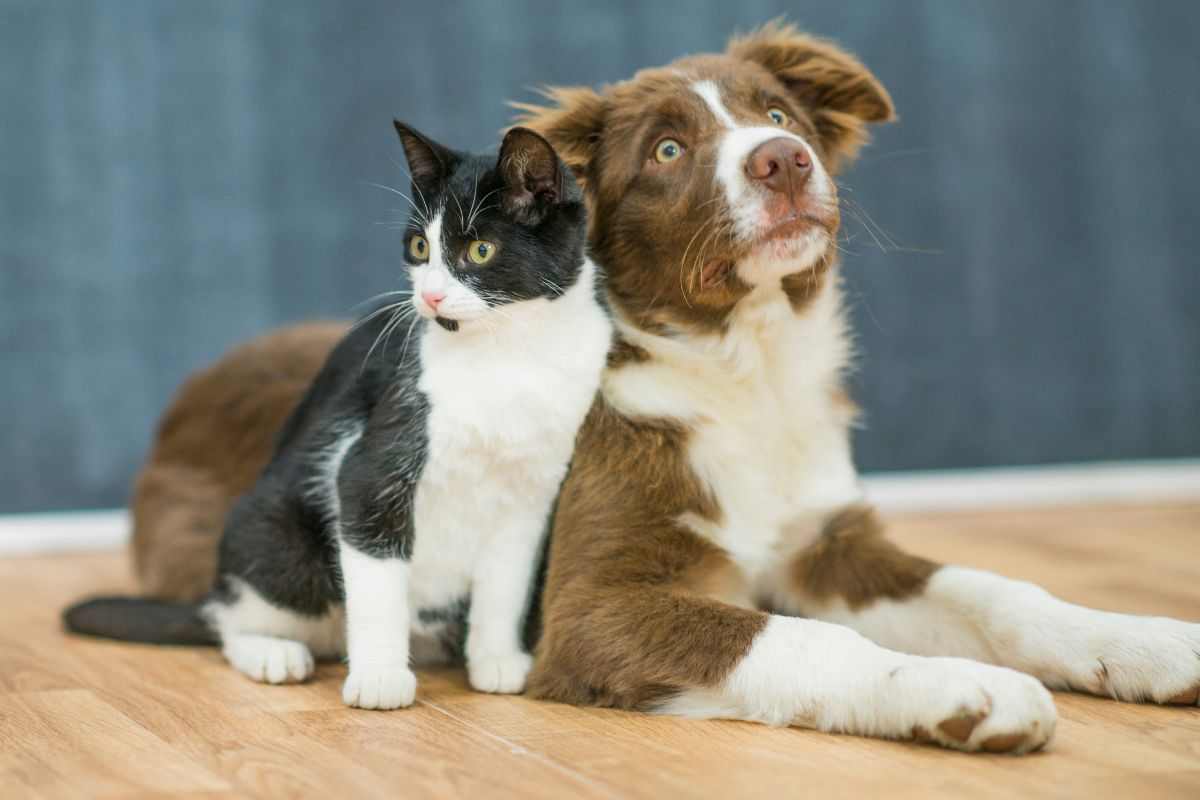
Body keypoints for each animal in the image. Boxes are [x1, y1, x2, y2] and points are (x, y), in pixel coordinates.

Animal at [63, 122, 609, 710]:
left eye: (480, 250)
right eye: (420, 247)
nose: (430, 296)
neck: (510, 355)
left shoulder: (532, 495)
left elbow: (506, 583)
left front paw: (498, 660)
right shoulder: (370, 466)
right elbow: (376, 582)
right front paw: (380, 679)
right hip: (278, 540)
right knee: (231, 618)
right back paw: (272, 652)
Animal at [131, 21, 1200, 753]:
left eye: (778, 114)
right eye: (668, 151)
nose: (785, 161)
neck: (740, 372)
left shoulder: (824, 544)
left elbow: (998, 590)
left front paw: (1144, 643)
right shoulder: (594, 605)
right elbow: (802, 643)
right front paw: (955, 690)